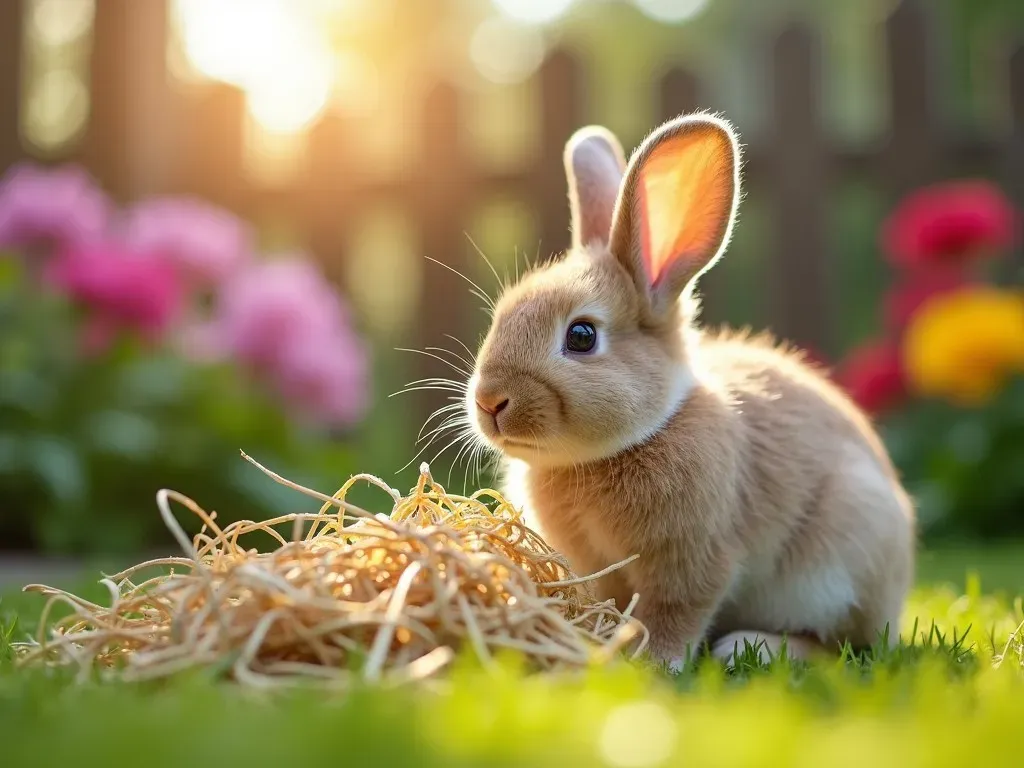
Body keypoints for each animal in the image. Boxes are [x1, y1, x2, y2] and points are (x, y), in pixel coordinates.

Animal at [460, 111, 917, 671]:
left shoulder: (695, 559)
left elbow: (674, 612)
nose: (490, 402)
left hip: (840, 563)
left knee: (841, 646)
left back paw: (750, 647)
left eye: (582, 336)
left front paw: (654, 661)